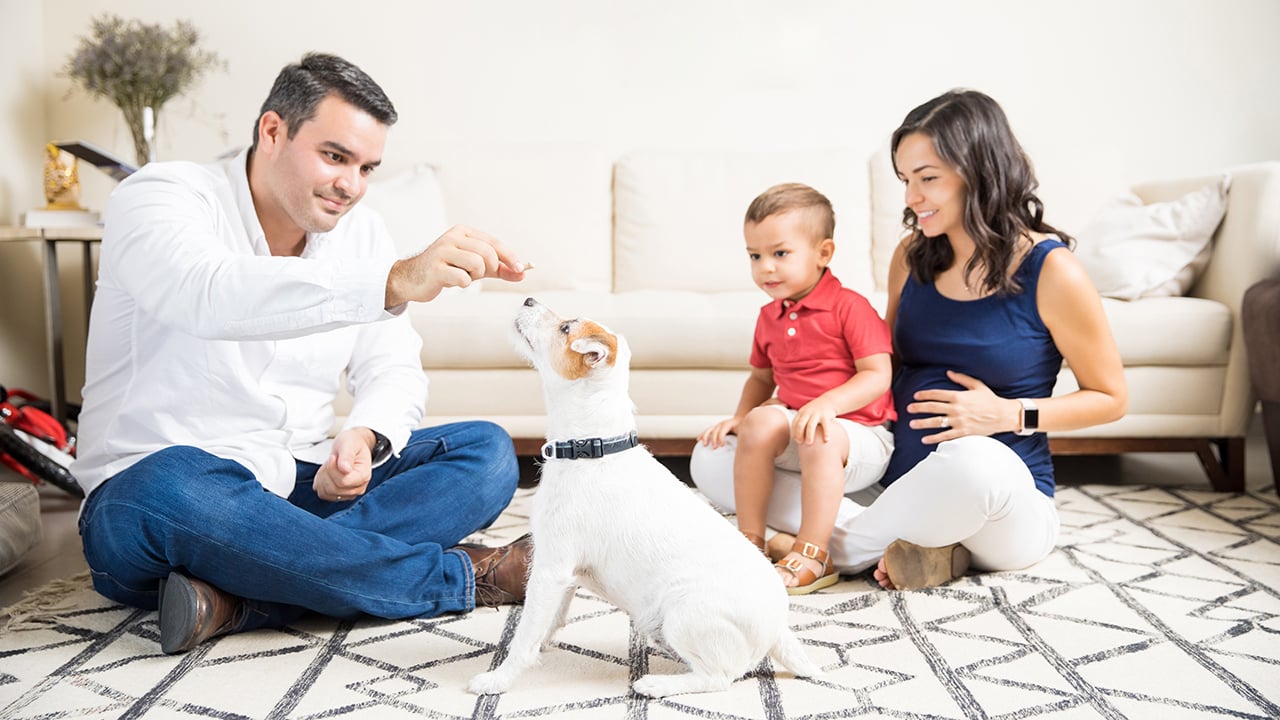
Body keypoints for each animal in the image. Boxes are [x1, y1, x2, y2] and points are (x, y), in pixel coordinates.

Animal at [468, 295, 819, 696]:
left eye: (565, 328)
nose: (528, 298)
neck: (591, 447)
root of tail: (777, 629)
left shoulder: (551, 568)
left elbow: (524, 634)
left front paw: (498, 679)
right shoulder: (563, 575)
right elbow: (549, 620)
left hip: (682, 612)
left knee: (718, 678)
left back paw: (655, 684)